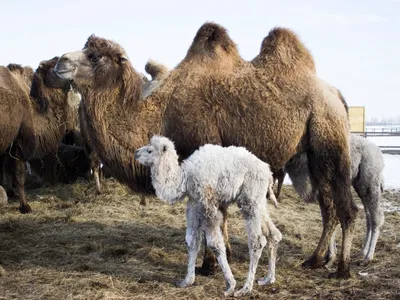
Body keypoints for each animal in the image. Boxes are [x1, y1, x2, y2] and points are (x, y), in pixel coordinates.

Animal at [54, 21, 358, 278]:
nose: (60, 61)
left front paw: (207, 266)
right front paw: (226, 255)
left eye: (95, 55)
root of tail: (337, 95)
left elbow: (209, 218)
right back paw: (315, 260)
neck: (162, 114)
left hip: (329, 139)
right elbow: (220, 217)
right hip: (311, 156)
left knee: (347, 207)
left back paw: (342, 269)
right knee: (328, 207)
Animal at [134, 137, 282, 296]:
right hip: (259, 201)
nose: (136, 153)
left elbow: (215, 244)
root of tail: (268, 172)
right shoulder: (194, 203)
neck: (185, 179)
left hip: (250, 198)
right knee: (274, 234)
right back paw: (268, 279)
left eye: (150, 150)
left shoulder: (207, 203)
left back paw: (245, 288)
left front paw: (230, 285)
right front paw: (186, 281)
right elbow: (192, 241)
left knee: (257, 241)